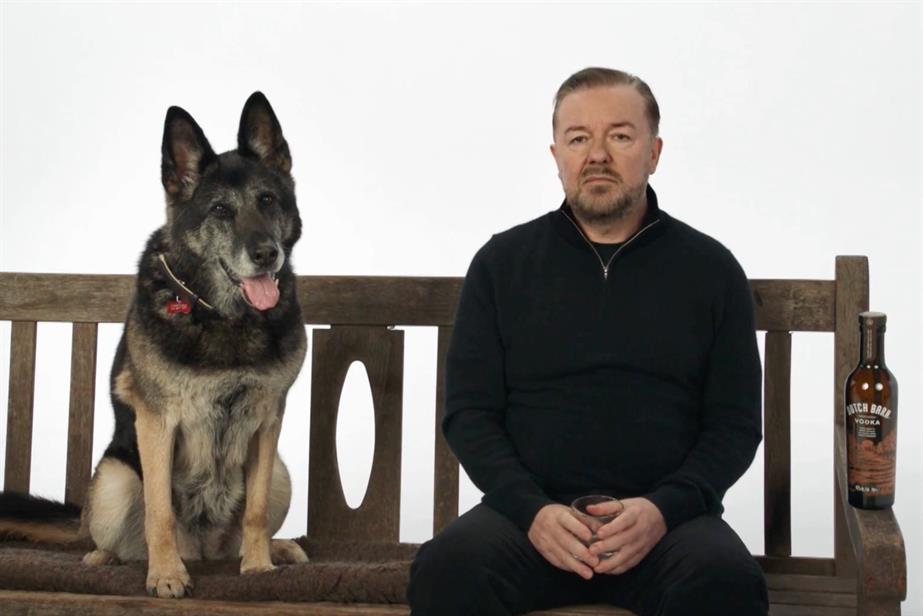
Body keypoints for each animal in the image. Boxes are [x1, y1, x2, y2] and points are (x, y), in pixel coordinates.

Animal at [0, 91, 310, 596]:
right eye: (219, 211)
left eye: (267, 201)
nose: (267, 254)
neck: (220, 314)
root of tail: (202, 550)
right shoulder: (158, 422)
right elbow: (159, 512)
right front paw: (166, 574)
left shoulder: (267, 422)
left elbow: (257, 511)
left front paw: (260, 567)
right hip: (114, 479)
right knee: (113, 535)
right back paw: (105, 557)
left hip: (281, 470)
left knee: (241, 533)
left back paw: (271, 549)